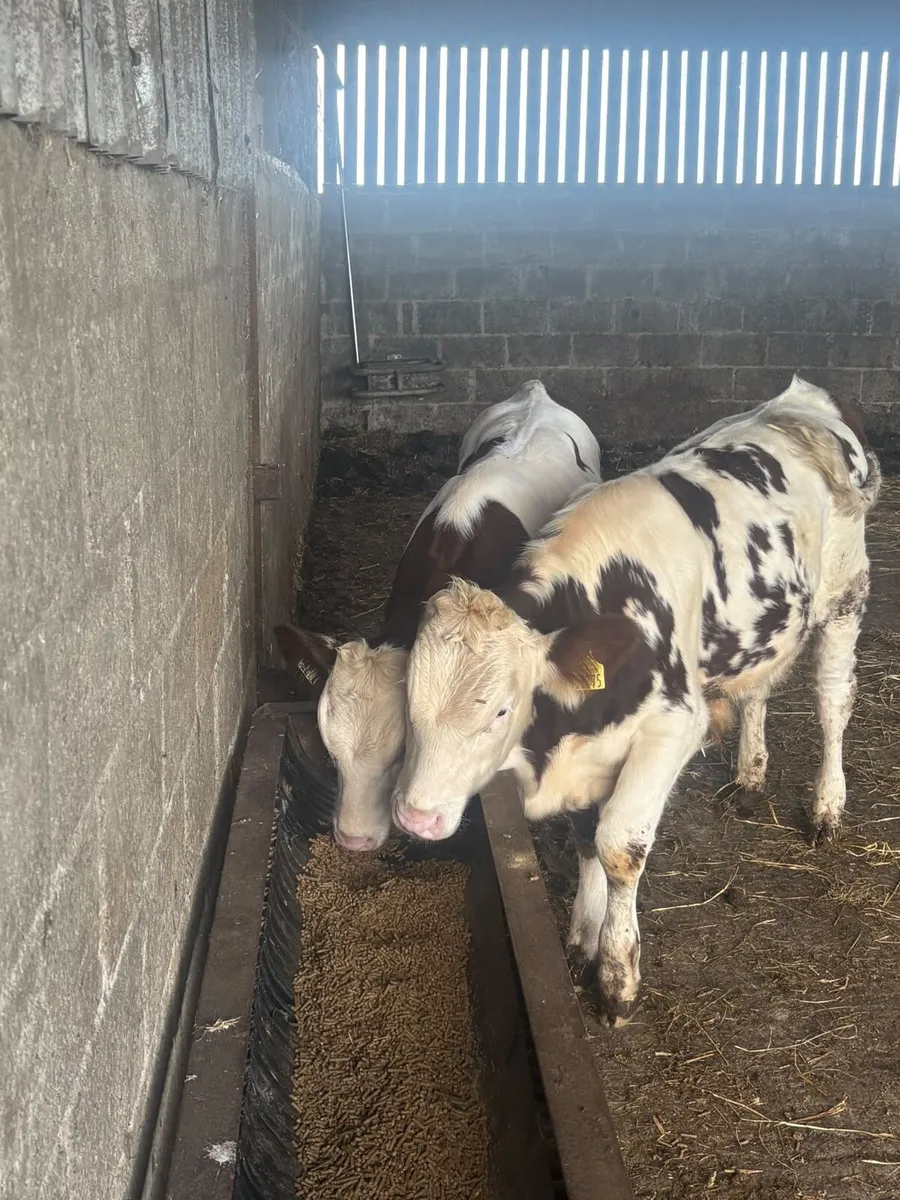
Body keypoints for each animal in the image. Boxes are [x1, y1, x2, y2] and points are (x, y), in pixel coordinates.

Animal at [391, 376, 881, 1024]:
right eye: (409, 701)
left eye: (500, 709)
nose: (415, 816)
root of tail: (802, 401)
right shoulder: (590, 747)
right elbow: (584, 835)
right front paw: (583, 936)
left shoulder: (672, 728)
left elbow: (617, 844)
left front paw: (617, 978)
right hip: (761, 629)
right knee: (756, 692)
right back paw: (750, 775)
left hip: (845, 596)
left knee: (832, 701)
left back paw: (827, 807)